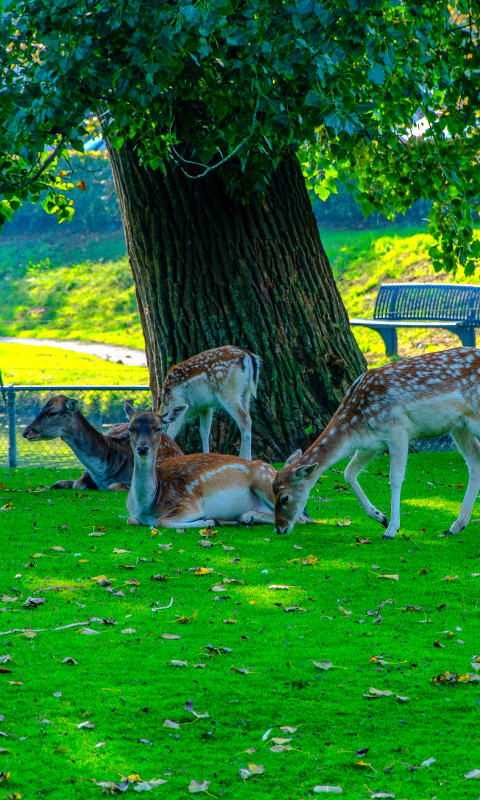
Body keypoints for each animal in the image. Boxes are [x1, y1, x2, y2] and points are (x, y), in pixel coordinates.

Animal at [21, 392, 182, 488]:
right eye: (41, 409)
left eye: (53, 412)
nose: (26, 431)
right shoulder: (86, 473)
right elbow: (74, 484)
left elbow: (113, 486)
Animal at [124, 404, 314, 528]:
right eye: (130, 428)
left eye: (158, 428)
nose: (142, 448)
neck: (147, 505)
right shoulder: (134, 516)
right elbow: (130, 519)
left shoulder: (188, 503)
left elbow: (162, 521)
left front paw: (209, 521)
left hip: (265, 480)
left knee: (301, 517)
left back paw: (245, 517)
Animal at [274, 346, 480, 536]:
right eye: (272, 489)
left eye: (284, 497)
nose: (279, 529)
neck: (354, 425)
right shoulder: (370, 445)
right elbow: (348, 473)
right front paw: (380, 517)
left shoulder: (398, 431)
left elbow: (395, 478)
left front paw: (391, 529)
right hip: (459, 427)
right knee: (475, 463)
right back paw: (456, 526)